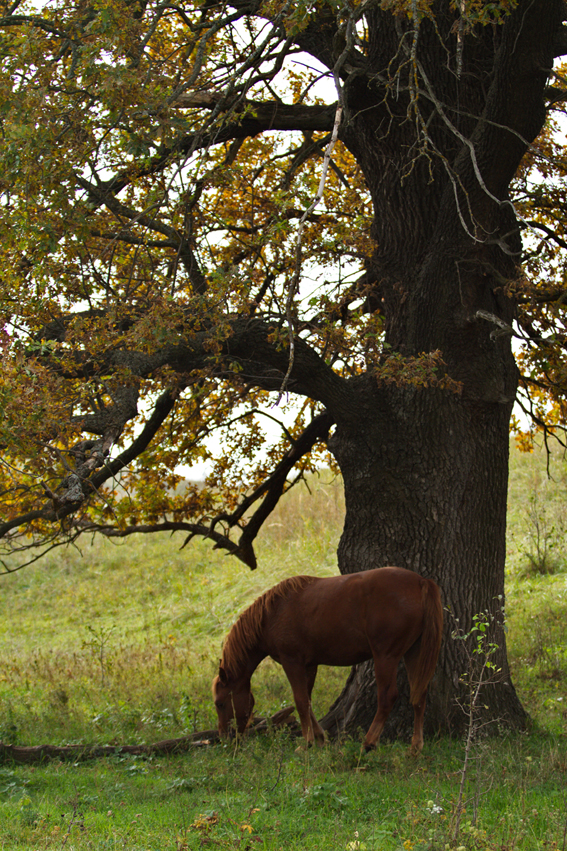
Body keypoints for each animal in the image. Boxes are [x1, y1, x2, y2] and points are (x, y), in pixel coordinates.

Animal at [213, 564, 444, 752]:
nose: (224, 739)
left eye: (220, 703)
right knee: (419, 696)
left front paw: (306, 743)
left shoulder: (292, 662)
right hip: (413, 653)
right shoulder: (309, 665)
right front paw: (319, 738)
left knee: (388, 697)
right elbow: (307, 701)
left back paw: (369, 743)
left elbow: (300, 701)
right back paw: (415, 747)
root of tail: (420, 582)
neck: (272, 614)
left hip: (385, 657)